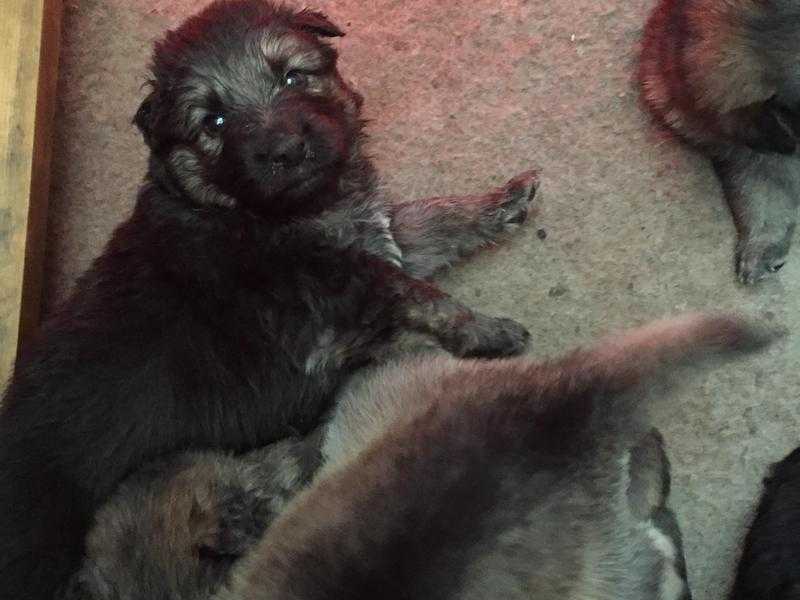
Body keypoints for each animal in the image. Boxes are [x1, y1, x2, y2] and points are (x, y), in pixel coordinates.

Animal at [0, 2, 540, 596]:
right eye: (213, 121)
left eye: (292, 77)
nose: (288, 150)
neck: (246, 211)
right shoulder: (334, 306)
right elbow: (413, 293)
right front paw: (485, 330)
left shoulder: (371, 239)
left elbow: (428, 223)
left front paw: (498, 203)